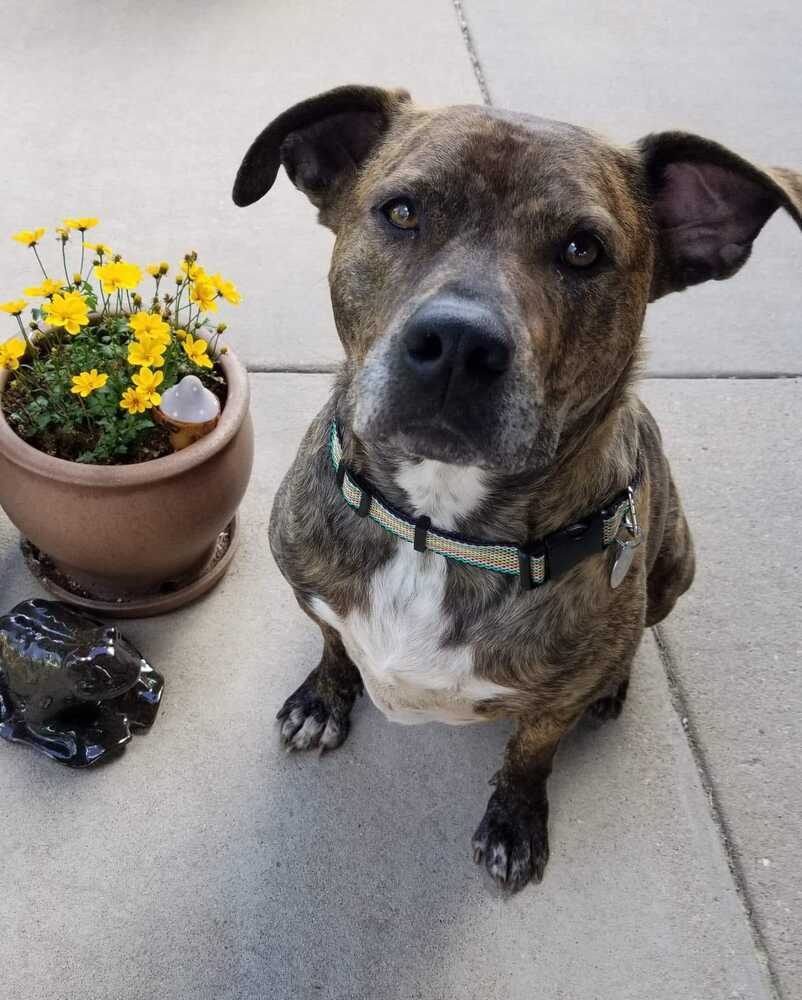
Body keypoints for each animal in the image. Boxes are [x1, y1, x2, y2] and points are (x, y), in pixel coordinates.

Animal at [231, 86, 800, 896]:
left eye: (583, 250)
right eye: (401, 211)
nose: (458, 346)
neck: (437, 530)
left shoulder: (550, 703)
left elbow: (532, 752)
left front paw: (514, 820)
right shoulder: (314, 591)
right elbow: (334, 641)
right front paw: (322, 696)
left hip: (677, 563)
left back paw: (613, 685)